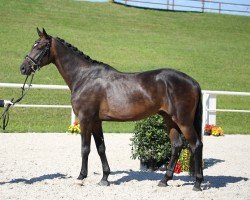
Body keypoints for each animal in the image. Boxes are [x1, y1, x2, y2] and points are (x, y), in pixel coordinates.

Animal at [19, 28, 203, 191]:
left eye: (40, 46)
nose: (23, 68)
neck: (84, 77)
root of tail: (193, 82)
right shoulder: (96, 121)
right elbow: (101, 148)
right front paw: (105, 178)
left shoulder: (85, 119)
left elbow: (85, 148)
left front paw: (81, 177)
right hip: (169, 119)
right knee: (177, 145)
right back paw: (164, 180)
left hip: (183, 121)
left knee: (196, 145)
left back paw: (197, 184)